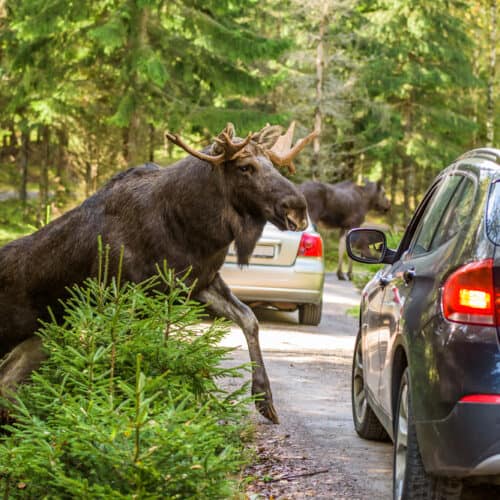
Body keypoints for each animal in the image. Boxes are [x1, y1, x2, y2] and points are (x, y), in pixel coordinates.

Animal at [0, 121, 316, 422]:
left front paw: (264, 398)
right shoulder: (125, 293)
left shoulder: (199, 282)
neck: (192, 230)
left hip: (38, 339)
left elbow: (249, 319)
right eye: (245, 167)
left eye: (273, 165)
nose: (298, 209)